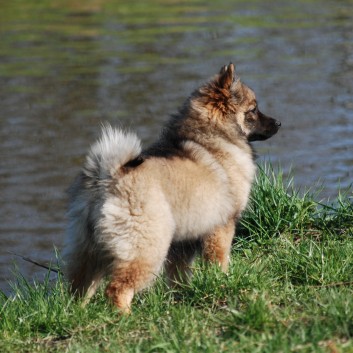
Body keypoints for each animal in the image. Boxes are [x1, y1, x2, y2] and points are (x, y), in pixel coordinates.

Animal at [62, 62, 280, 310]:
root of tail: (107, 177)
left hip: (88, 251)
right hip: (147, 248)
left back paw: (78, 312)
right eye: (253, 109)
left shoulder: (182, 243)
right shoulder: (221, 227)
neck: (213, 136)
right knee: (117, 289)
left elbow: (178, 274)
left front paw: (181, 296)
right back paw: (124, 315)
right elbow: (219, 260)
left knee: (79, 288)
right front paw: (223, 281)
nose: (278, 123)